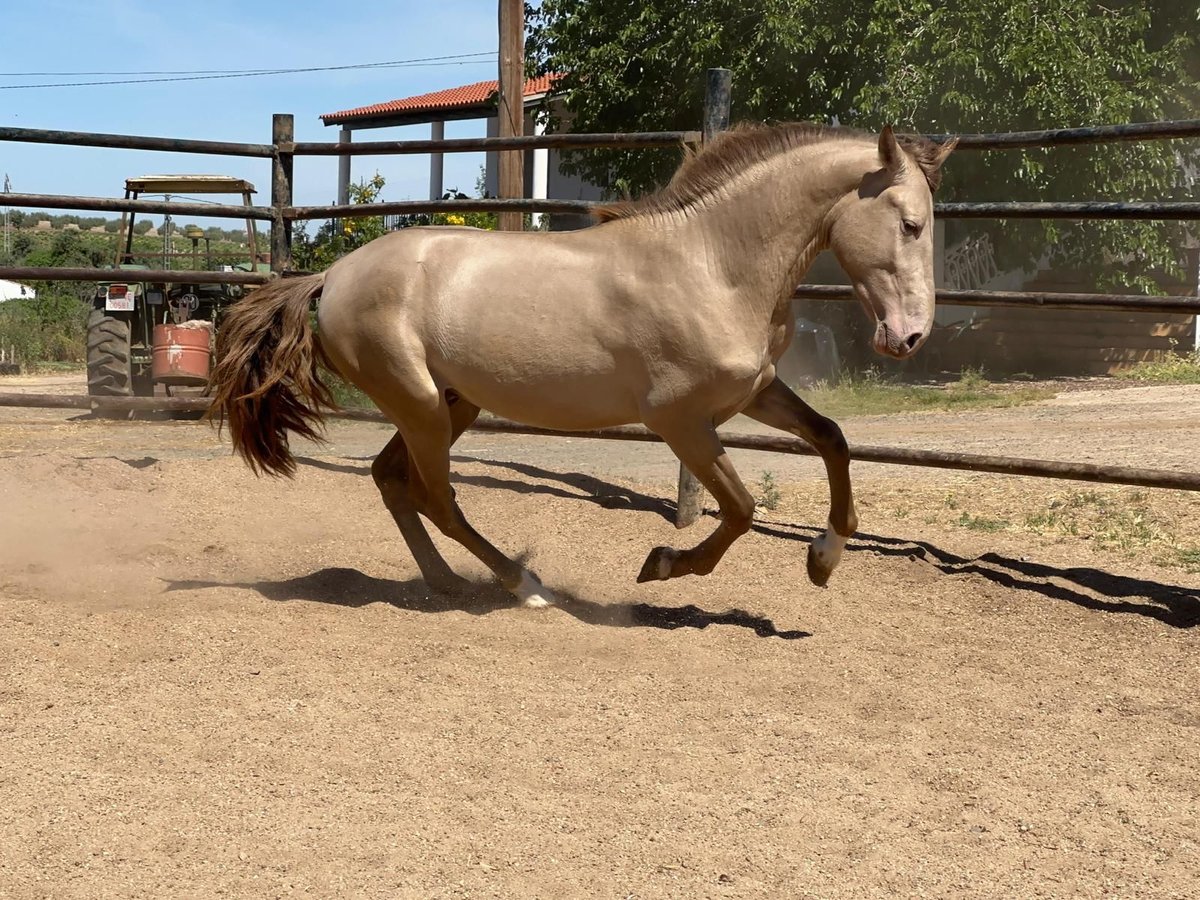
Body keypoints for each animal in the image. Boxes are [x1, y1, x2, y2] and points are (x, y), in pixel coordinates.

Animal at [206, 123, 955, 609]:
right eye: (911, 224)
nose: (911, 336)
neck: (712, 265)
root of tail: (330, 277)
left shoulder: (755, 392)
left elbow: (832, 438)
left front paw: (823, 559)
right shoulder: (680, 419)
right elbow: (741, 508)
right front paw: (662, 565)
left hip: (449, 403)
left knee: (394, 482)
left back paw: (447, 583)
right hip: (419, 405)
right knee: (436, 497)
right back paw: (523, 586)